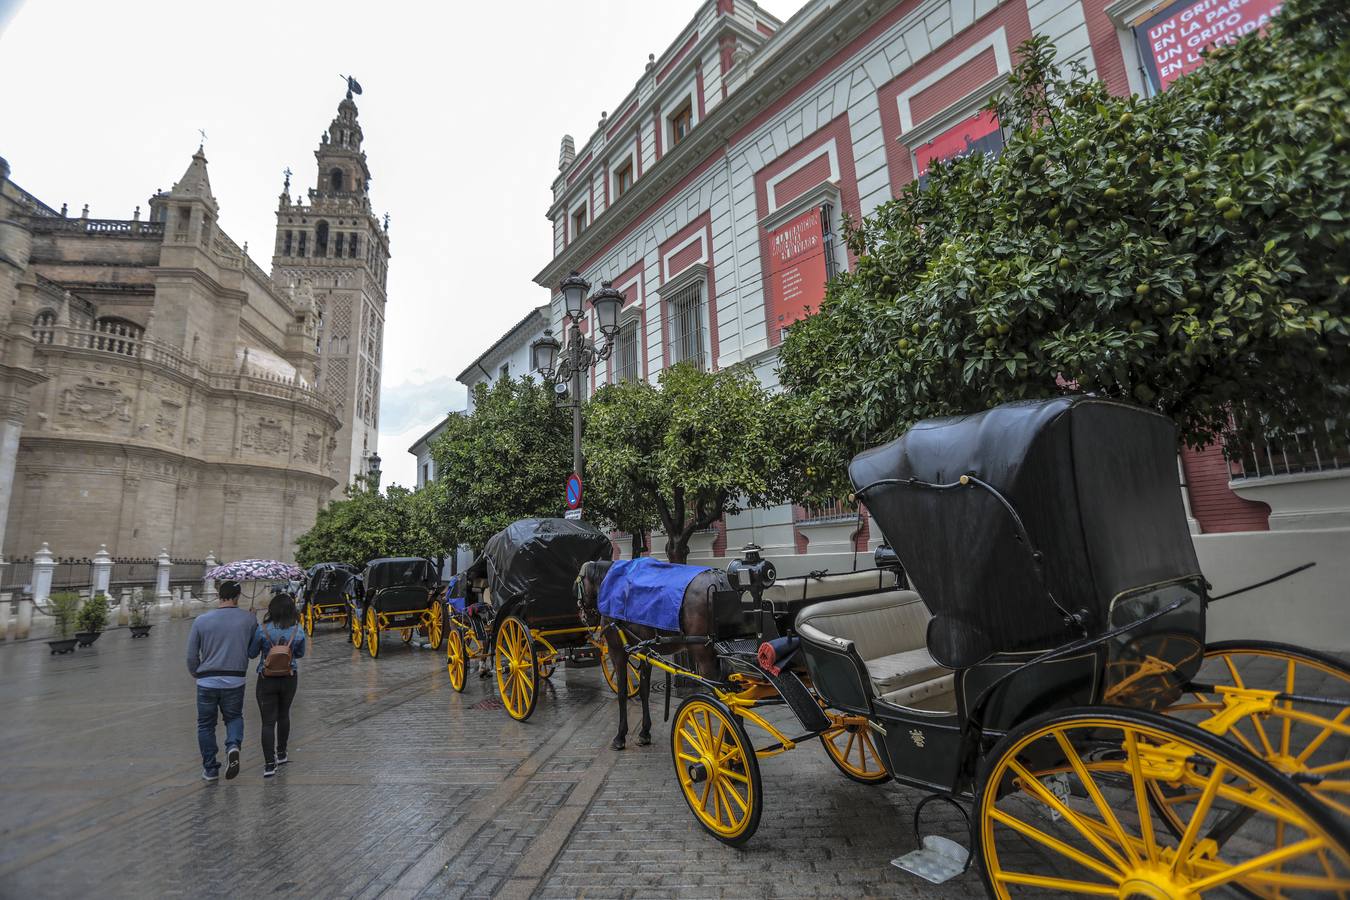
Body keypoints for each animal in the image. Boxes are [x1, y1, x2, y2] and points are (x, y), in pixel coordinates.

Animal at [575, 558, 734, 750]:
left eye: (577, 585)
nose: (583, 616)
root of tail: (718, 581)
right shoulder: (645, 651)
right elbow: (644, 690)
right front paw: (645, 732)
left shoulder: (616, 651)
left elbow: (622, 692)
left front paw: (620, 735)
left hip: (703, 654)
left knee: (723, 696)